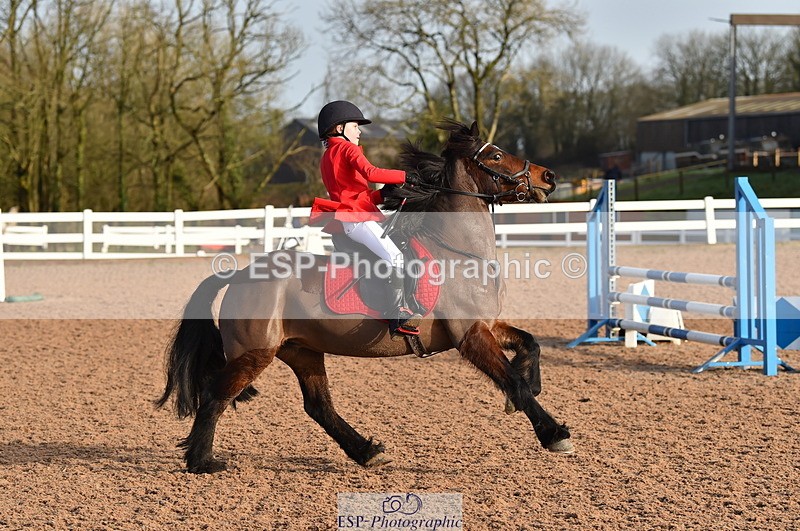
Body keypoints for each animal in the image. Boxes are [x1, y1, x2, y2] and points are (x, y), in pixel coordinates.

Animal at [156, 120, 573, 473]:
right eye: (496, 156)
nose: (548, 177)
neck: (458, 251)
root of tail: (238, 275)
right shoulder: (469, 334)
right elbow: (513, 381)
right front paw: (553, 433)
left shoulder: (486, 324)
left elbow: (530, 344)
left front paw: (528, 387)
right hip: (254, 353)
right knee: (216, 396)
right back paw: (202, 461)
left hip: (302, 350)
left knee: (319, 406)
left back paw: (367, 452)